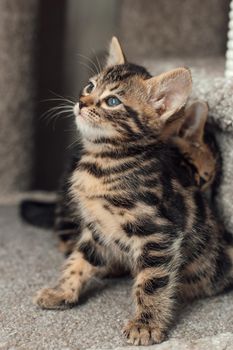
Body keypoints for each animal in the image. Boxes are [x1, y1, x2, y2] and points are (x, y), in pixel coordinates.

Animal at [33, 36, 232, 344]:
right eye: (90, 87)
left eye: (113, 101)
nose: (80, 103)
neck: (105, 162)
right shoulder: (97, 230)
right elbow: (78, 261)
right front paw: (62, 291)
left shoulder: (158, 234)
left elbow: (152, 282)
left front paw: (146, 324)